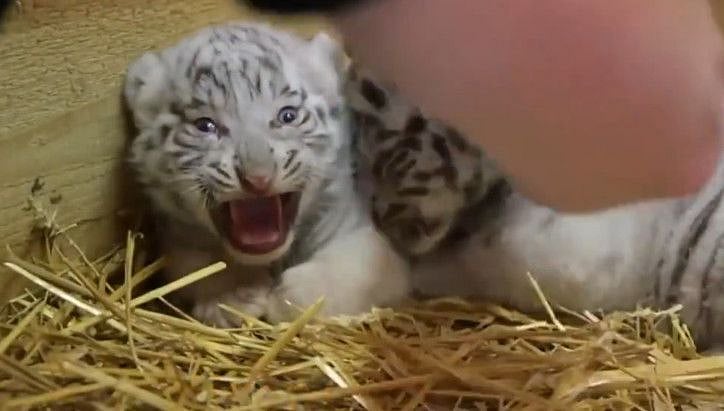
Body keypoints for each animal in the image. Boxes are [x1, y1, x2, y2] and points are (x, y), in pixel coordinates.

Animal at [122, 23, 410, 327]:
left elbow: (352, 271)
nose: (257, 179)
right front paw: (236, 295)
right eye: (205, 125)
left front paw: (284, 297)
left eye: (287, 116)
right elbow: (195, 266)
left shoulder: (364, 236)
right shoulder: (178, 239)